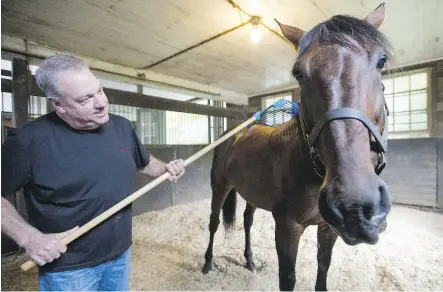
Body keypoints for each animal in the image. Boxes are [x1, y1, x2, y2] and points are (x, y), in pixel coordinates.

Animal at [201, 2, 392, 292]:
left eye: (382, 61)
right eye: (298, 74)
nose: (356, 206)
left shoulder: (327, 229)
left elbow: (323, 269)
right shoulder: (287, 229)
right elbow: (288, 279)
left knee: (247, 221)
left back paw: (250, 260)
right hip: (219, 187)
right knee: (213, 223)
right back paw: (208, 263)